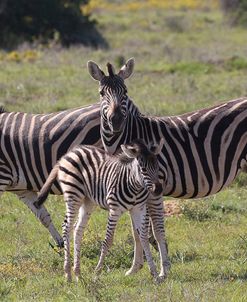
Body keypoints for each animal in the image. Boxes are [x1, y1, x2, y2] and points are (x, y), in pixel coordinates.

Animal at [33, 140, 168, 282]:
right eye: (143, 169)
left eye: (157, 167)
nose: (158, 190)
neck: (135, 186)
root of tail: (68, 154)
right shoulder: (114, 210)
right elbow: (108, 240)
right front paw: (97, 273)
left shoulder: (138, 209)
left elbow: (143, 238)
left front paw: (154, 273)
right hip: (73, 195)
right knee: (66, 227)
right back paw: (68, 274)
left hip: (88, 201)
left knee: (78, 229)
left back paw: (77, 273)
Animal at [88, 57, 247, 274]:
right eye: (101, 93)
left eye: (125, 92)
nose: (117, 121)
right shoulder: (132, 190)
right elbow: (136, 229)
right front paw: (135, 268)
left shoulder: (153, 187)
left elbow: (153, 229)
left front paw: (163, 270)